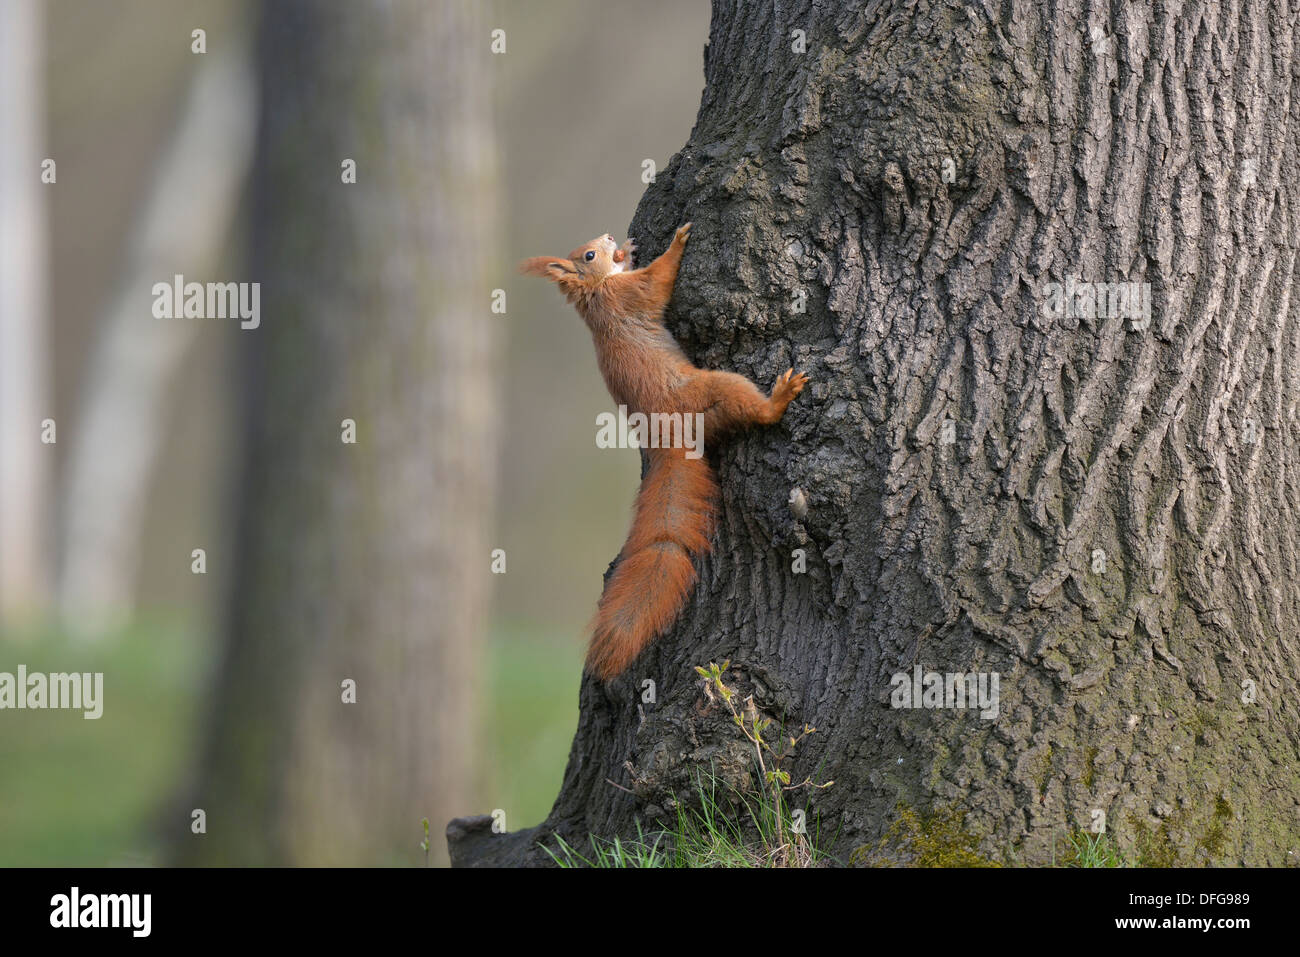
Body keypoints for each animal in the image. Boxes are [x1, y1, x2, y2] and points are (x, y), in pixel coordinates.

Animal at [520, 223, 806, 686]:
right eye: (587, 256)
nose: (609, 236)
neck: (598, 292)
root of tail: (668, 436)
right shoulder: (632, 294)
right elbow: (659, 281)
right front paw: (677, 241)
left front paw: (632, 247)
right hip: (712, 388)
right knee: (755, 409)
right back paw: (778, 399)